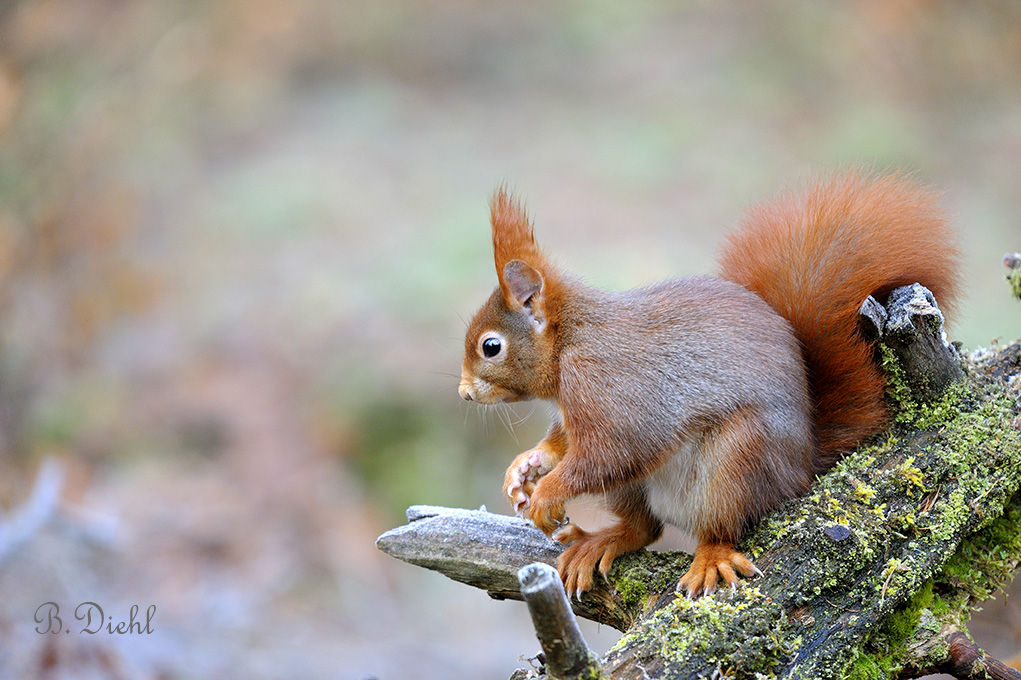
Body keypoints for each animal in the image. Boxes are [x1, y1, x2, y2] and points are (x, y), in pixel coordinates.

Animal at [459, 172, 959, 596]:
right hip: (641, 490)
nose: (464, 393)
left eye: (491, 346)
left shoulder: (610, 385)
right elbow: (564, 444)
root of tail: (801, 470)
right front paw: (525, 467)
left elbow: (612, 451)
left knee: (721, 525)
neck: (570, 342)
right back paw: (602, 541)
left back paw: (711, 558)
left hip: (736, 461)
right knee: (646, 529)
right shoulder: (574, 412)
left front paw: (546, 492)